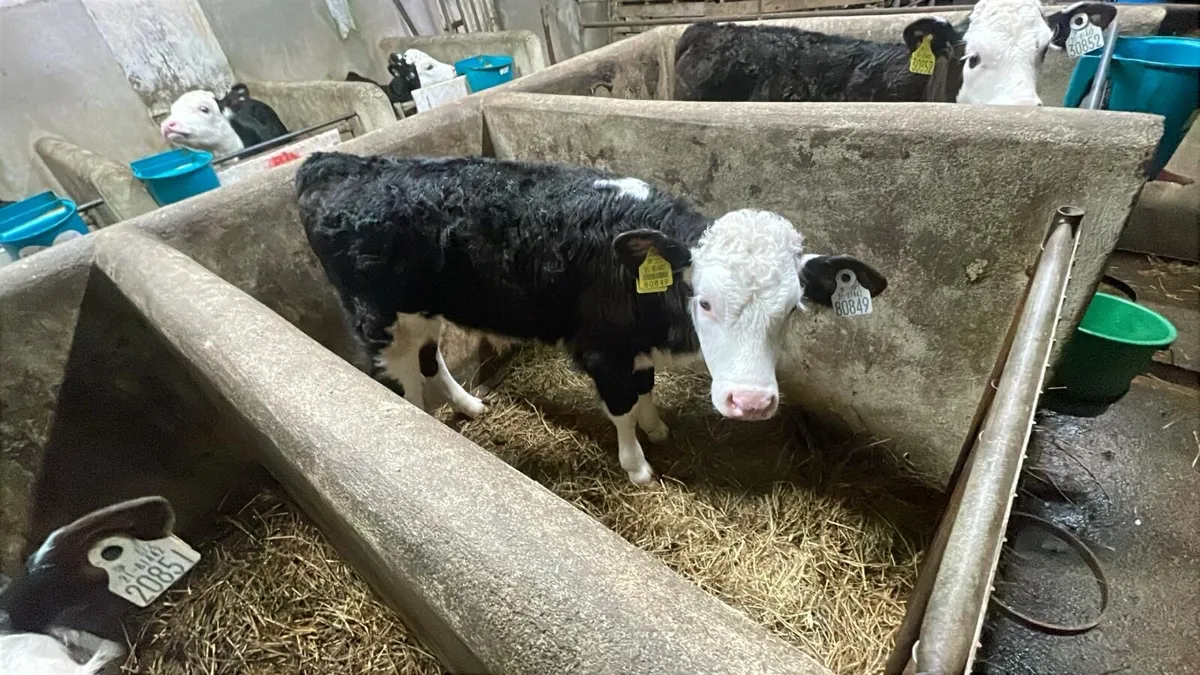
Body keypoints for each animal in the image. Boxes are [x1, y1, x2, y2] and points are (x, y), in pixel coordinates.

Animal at [296, 152, 888, 485]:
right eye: (703, 301)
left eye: (791, 310)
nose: (750, 403)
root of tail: (331, 161)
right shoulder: (604, 350)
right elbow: (621, 409)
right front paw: (637, 466)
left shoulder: (635, 350)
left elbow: (645, 391)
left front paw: (657, 427)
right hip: (379, 318)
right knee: (402, 382)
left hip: (424, 312)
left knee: (430, 358)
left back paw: (469, 406)